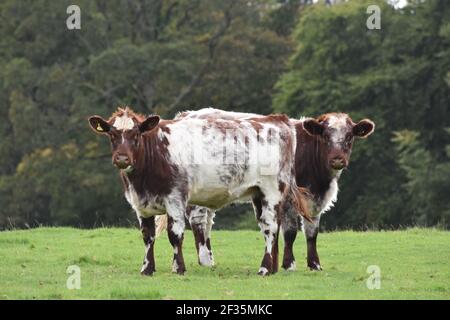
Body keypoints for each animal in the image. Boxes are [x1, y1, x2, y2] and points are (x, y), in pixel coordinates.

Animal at [88, 107, 310, 276]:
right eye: (112, 135)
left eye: (136, 135)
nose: (122, 158)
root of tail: (277, 119)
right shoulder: (140, 204)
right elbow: (147, 236)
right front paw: (147, 269)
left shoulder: (175, 198)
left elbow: (175, 234)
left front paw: (178, 268)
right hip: (258, 193)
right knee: (268, 226)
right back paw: (271, 268)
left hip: (272, 190)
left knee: (270, 227)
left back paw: (264, 268)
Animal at [160, 109, 374, 272]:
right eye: (325, 136)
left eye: (349, 136)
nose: (337, 159)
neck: (319, 180)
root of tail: (187, 114)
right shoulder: (289, 199)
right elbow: (290, 232)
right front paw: (288, 264)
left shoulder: (315, 201)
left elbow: (311, 232)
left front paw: (314, 264)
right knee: (198, 220)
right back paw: (205, 260)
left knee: (207, 223)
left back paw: (209, 259)